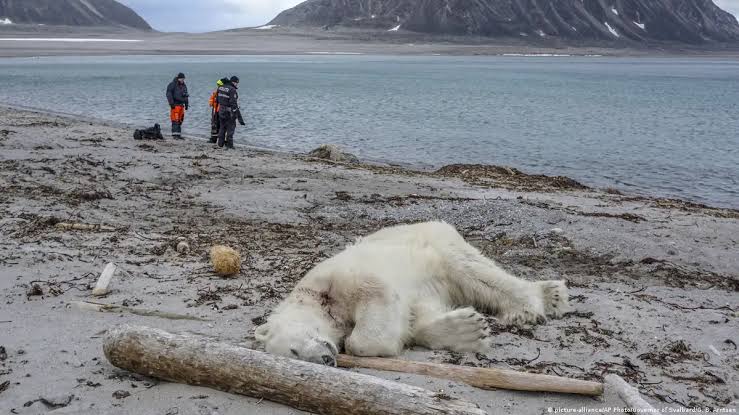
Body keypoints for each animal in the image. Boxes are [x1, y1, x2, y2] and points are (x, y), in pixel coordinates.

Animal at [255, 221, 571, 366]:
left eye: (294, 350)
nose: (325, 359)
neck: (315, 299)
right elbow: (417, 316)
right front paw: (468, 329)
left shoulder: (338, 279)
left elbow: (375, 298)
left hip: (437, 243)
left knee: (474, 271)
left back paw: (534, 303)